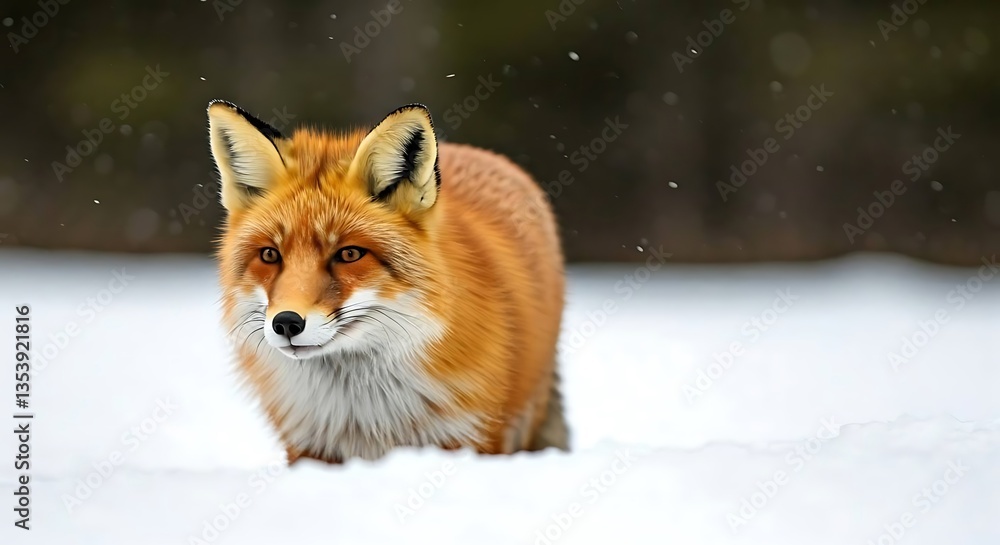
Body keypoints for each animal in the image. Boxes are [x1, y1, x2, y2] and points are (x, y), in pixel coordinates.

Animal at [207, 100, 568, 464]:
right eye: (270, 255)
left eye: (350, 254)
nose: (286, 323)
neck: (368, 417)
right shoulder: (309, 447)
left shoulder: (470, 437)